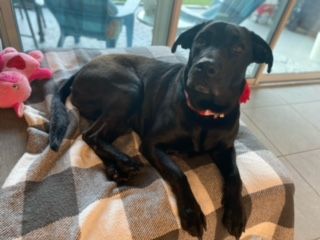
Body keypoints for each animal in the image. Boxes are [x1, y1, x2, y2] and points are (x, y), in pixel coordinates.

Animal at [49, 21, 272, 239]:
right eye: (201, 40)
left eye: (238, 49)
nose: (204, 66)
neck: (204, 115)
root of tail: (80, 70)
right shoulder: (152, 144)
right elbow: (178, 173)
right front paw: (191, 212)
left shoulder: (225, 149)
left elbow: (235, 175)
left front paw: (235, 211)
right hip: (129, 89)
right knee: (91, 134)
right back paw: (125, 161)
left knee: (97, 136)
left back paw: (116, 169)